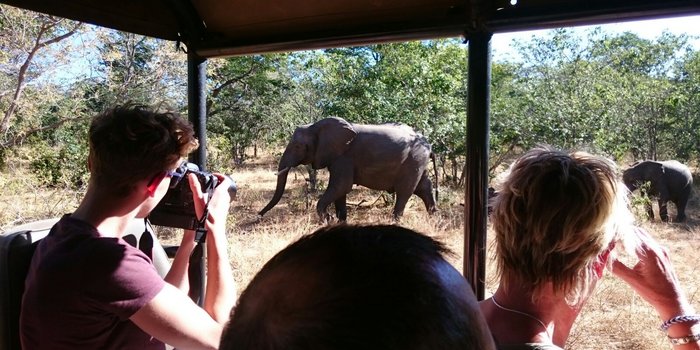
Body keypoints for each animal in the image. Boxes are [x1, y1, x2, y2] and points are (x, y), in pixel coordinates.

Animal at [258, 117, 438, 221]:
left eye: (297, 146)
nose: (259, 216)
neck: (315, 126)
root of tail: (429, 145)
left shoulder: (344, 157)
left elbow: (341, 186)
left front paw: (328, 219)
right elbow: (340, 190)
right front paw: (339, 222)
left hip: (414, 160)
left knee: (405, 191)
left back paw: (395, 222)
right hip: (418, 161)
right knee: (424, 187)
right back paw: (434, 218)